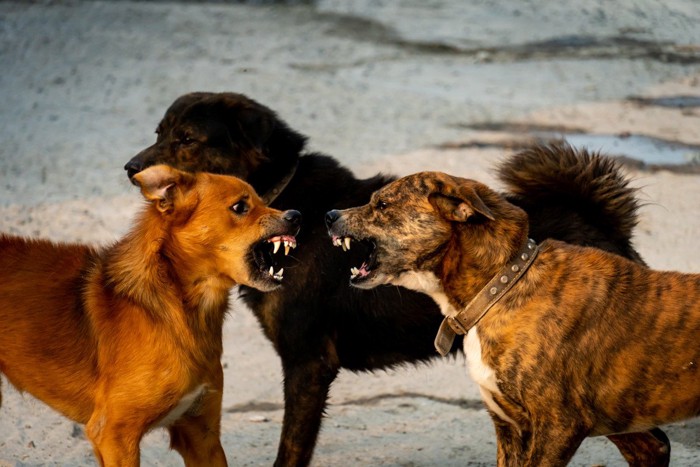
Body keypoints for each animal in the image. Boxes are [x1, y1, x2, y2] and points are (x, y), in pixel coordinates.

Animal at [0, 166, 298, 466]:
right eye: (240, 207)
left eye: (263, 200)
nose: (296, 216)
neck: (177, 312)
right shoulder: (114, 435)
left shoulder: (202, 435)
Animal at [328, 172, 700, 467]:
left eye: (382, 205)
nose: (329, 214)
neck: (502, 285)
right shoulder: (509, 426)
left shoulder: (559, 427)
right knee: (654, 447)